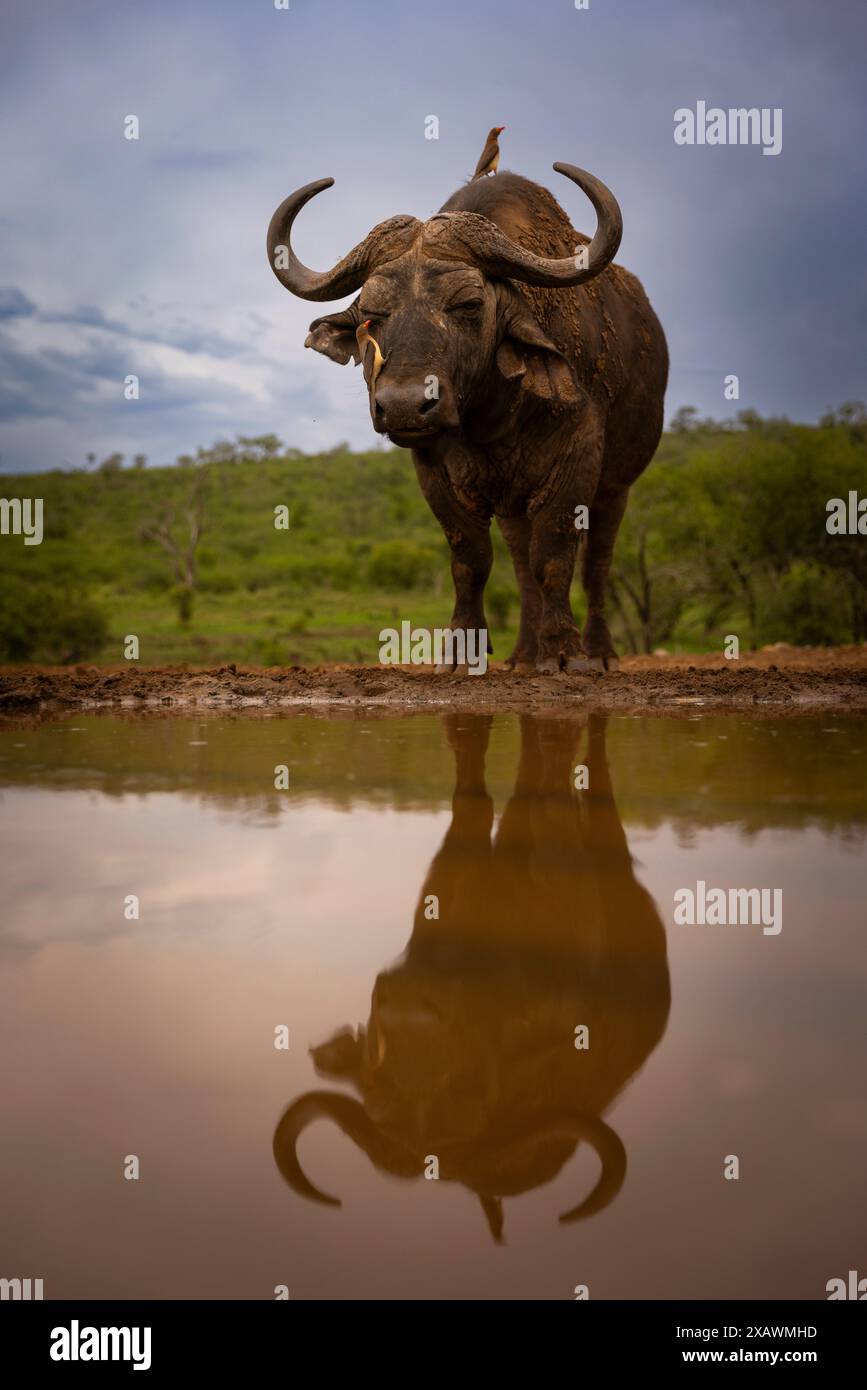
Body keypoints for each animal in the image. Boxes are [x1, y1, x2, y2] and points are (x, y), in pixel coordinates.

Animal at [268, 159, 666, 669]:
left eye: (469, 305)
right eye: (372, 312)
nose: (403, 404)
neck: (492, 417)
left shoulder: (578, 459)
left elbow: (556, 555)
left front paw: (563, 651)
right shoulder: (432, 469)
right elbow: (472, 558)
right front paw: (461, 649)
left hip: (618, 484)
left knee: (597, 562)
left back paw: (599, 651)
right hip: (516, 506)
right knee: (521, 564)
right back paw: (523, 653)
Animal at [270, 717, 669, 1239]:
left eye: (468, 1084)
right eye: (378, 1082)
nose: (410, 1014)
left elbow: (551, 819)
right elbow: (473, 803)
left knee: (593, 773)